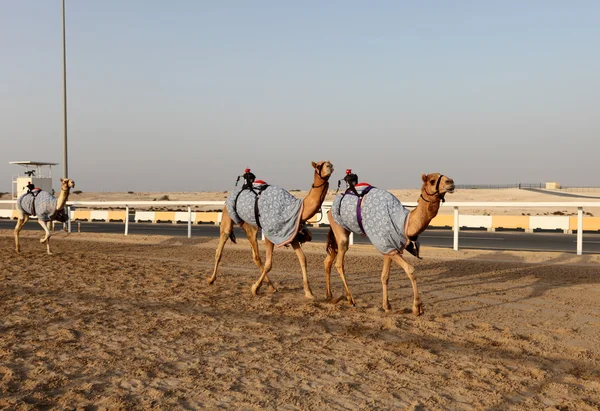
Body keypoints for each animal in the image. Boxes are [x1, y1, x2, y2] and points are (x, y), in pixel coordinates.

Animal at [209, 161, 336, 300]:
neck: (296, 208)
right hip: (227, 215)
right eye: (319, 165)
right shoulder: (271, 233)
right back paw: (211, 279)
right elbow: (269, 264)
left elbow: (303, 259)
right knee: (220, 249)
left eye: (328, 163)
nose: (329, 166)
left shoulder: (290, 233)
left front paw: (309, 292)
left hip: (250, 226)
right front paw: (254, 288)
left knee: (255, 255)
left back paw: (272, 286)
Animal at [324, 172, 454, 318]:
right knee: (339, 262)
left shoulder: (389, 247)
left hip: (339, 230)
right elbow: (410, 269)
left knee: (329, 259)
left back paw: (329, 295)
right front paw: (417, 307)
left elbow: (385, 276)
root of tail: (330, 210)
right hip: (339, 228)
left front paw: (386, 306)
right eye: (432, 181)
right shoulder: (387, 245)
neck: (404, 223)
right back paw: (350, 299)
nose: (450, 182)